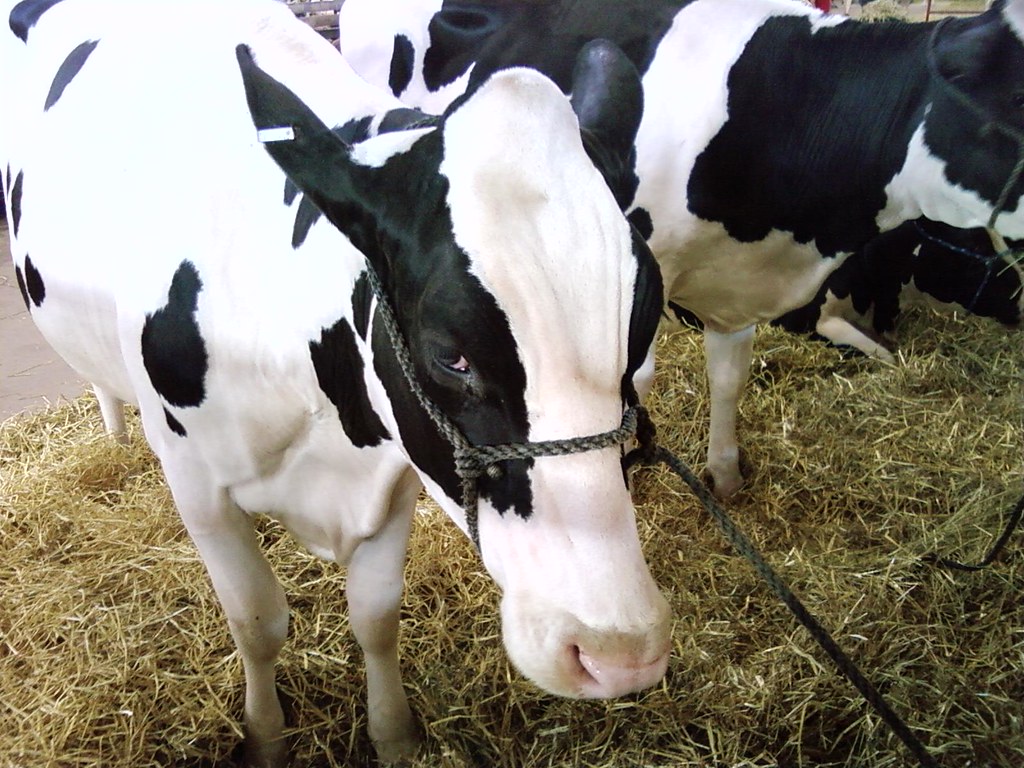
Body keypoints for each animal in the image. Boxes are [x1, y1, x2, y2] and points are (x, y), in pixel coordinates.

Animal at [1, 0, 672, 765]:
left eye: (640, 331)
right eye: (451, 356)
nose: (617, 651)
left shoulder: (396, 471)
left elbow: (376, 617)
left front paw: (394, 734)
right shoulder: (198, 488)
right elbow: (256, 622)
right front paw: (265, 738)